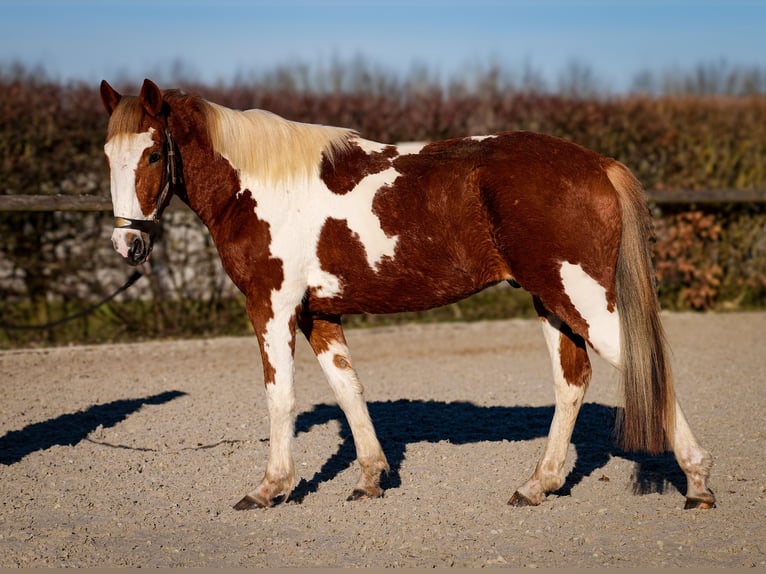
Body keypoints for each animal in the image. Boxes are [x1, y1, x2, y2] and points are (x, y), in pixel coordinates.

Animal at [99, 77, 716, 512]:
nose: (128, 244)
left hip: (581, 297)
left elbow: (280, 396)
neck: (258, 185)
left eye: (153, 154)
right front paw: (371, 478)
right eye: (108, 156)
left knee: (640, 366)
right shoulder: (318, 314)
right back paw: (537, 485)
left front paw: (270, 488)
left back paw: (697, 482)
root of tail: (597, 164)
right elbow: (348, 390)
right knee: (572, 381)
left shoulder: (271, 306)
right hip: (552, 302)